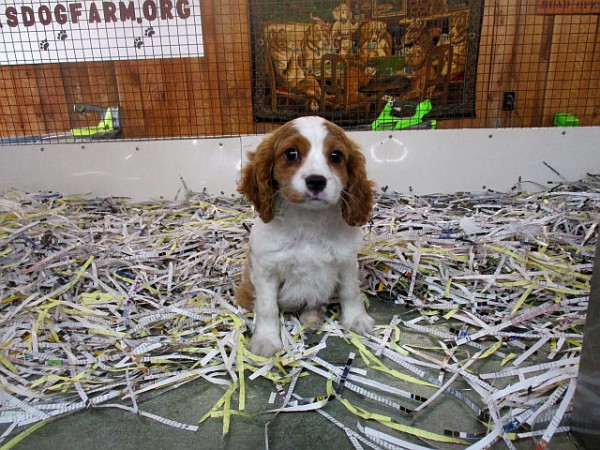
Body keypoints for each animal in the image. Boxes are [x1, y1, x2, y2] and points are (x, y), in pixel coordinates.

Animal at [236, 117, 372, 358]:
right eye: (291, 154)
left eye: (336, 156)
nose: (316, 181)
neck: (309, 222)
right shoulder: (266, 270)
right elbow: (267, 308)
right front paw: (266, 341)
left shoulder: (346, 262)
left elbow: (351, 292)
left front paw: (357, 320)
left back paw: (312, 317)